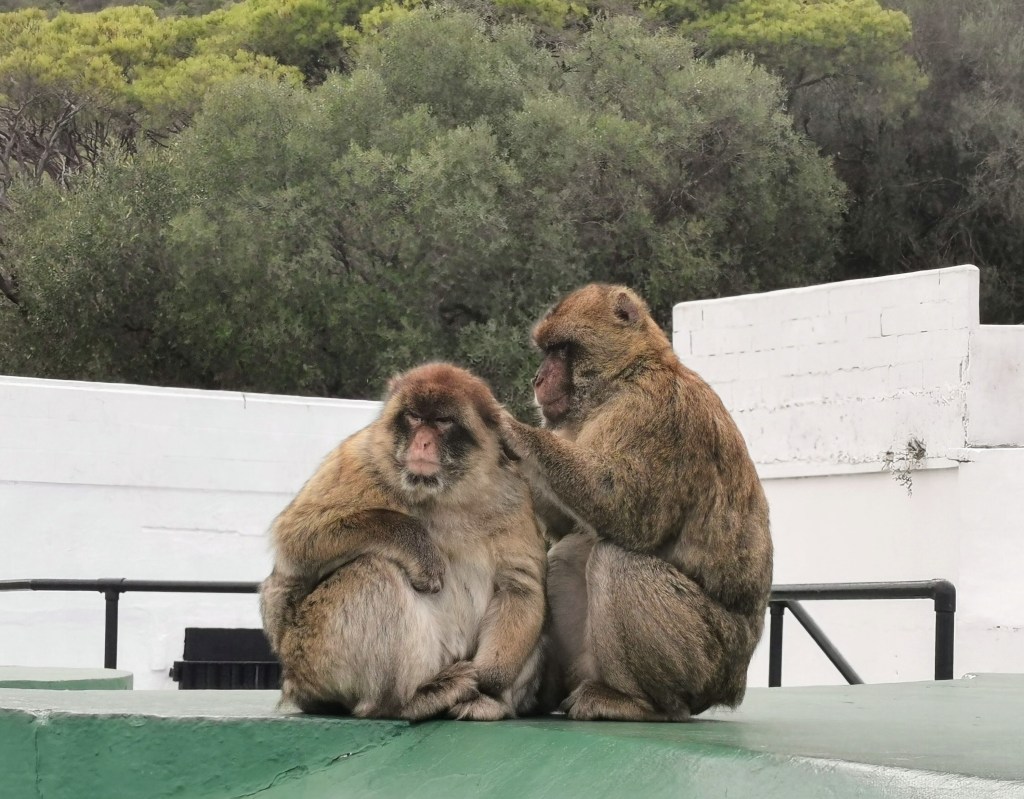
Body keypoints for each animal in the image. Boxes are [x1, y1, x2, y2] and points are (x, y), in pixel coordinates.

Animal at [260, 363, 546, 721]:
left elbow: (520, 587)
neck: (444, 495)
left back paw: (490, 702)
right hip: (310, 653)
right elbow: (295, 537)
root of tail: (292, 682)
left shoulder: (514, 493)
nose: (421, 442)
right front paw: (416, 545)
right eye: (413, 417)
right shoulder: (363, 455)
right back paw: (408, 701)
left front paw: (488, 686)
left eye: (442, 421)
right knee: (374, 571)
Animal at [500, 284, 773, 721]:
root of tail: (735, 684)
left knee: (616, 560)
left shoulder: (656, 414)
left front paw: (509, 428)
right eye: (546, 350)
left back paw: (642, 702)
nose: (538, 378)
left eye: (561, 349)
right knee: (570, 553)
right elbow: (567, 525)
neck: (625, 377)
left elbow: (624, 507)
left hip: (709, 657)